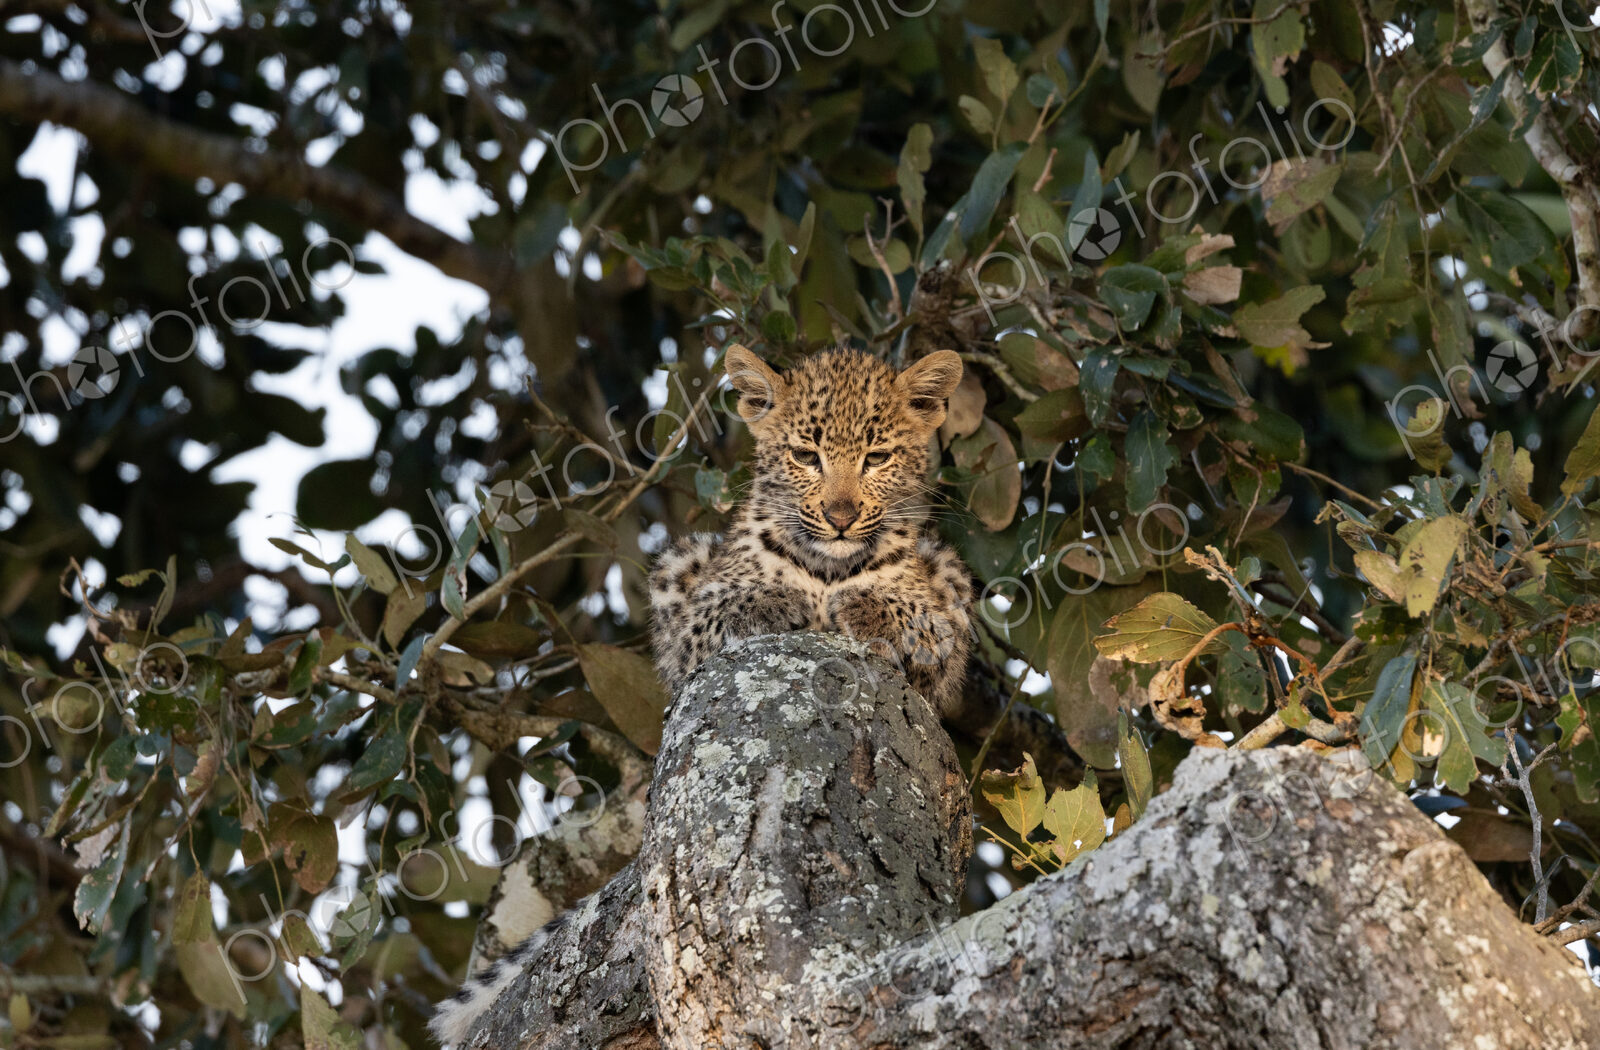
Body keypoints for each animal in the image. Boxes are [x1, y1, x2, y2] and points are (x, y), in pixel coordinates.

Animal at [648, 344, 974, 715]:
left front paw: (866, 608)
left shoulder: (946, 643)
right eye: (805, 456)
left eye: (877, 459)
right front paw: (772, 601)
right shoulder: (684, 639)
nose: (841, 518)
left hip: (947, 564)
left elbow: (922, 622)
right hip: (679, 559)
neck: (827, 569)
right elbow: (720, 607)